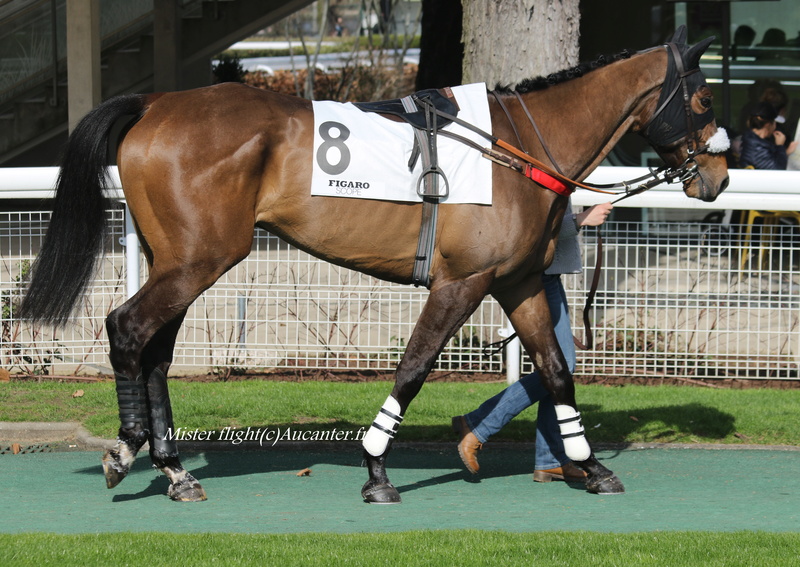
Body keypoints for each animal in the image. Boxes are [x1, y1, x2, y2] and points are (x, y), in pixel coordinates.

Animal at [18, 28, 732, 504]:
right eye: (703, 103)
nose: (720, 178)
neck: (516, 147)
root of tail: (155, 103)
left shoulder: (520, 282)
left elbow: (556, 371)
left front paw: (590, 465)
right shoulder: (461, 283)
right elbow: (413, 367)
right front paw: (377, 470)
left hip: (180, 259)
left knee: (156, 351)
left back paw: (174, 469)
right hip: (201, 258)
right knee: (128, 330)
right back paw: (127, 451)